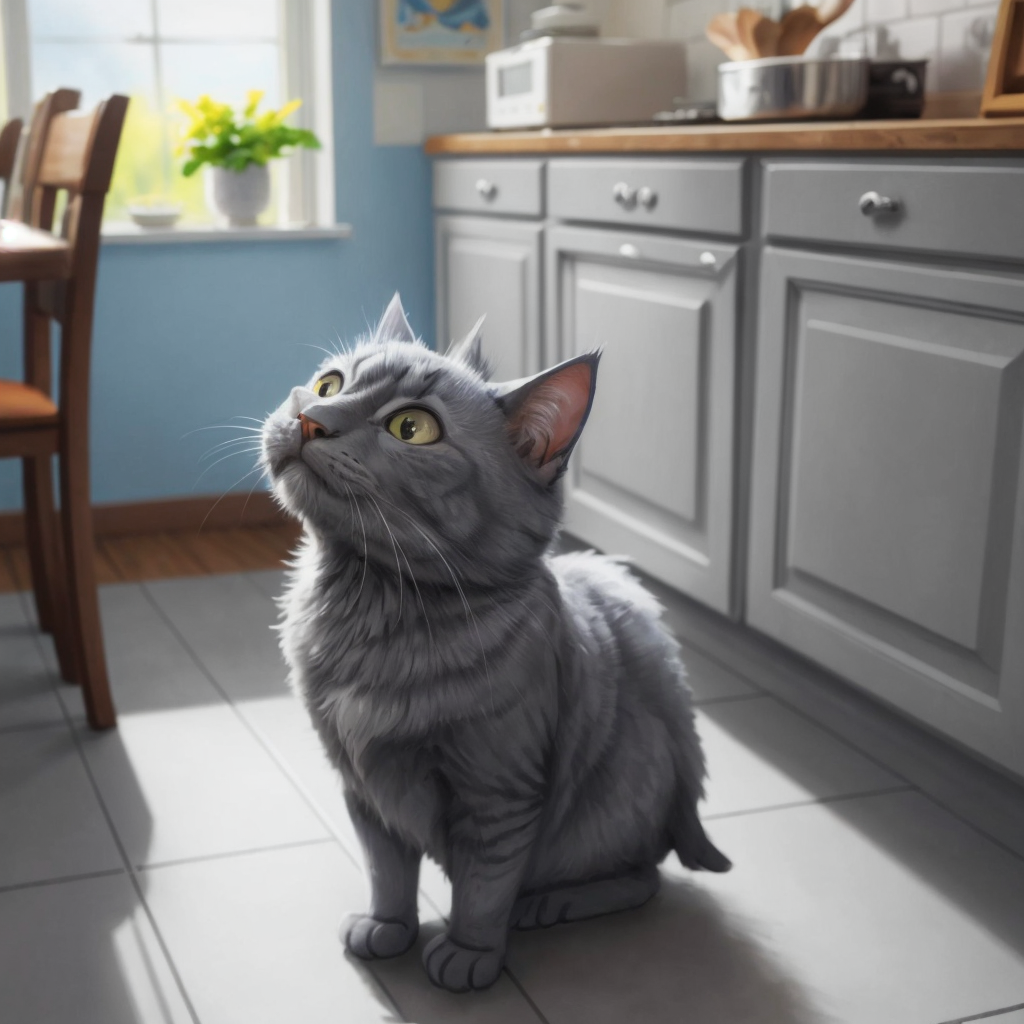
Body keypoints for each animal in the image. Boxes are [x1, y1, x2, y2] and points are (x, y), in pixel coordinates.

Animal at [262, 294, 729, 991]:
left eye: (411, 428)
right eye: (329, 385)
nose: (311, 419)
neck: (373, 619)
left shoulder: (499, 795)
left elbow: (483, 886)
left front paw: (469, 952)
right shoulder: (363, 785)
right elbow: (386, 869)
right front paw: (388, 926)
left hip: (621, 789)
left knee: (643, 877)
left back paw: (550, 904)